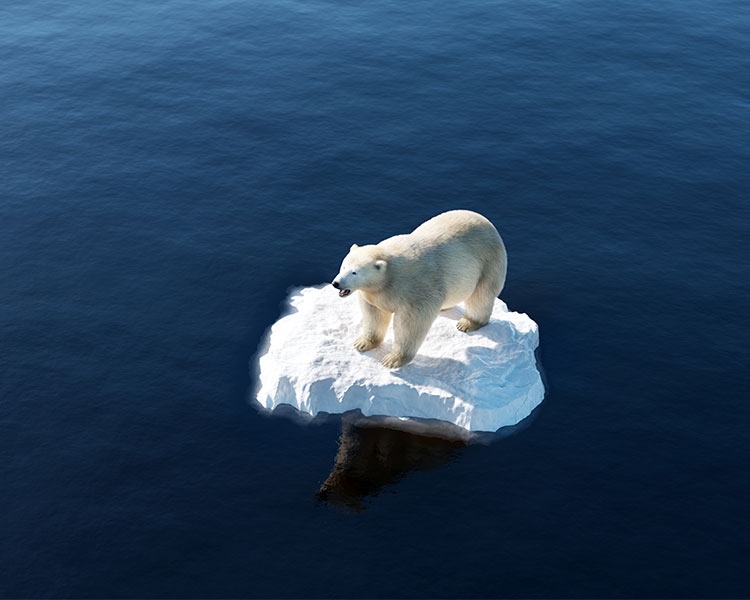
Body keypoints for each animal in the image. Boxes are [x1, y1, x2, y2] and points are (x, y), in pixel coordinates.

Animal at [332, 211, 508, 370]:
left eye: (354, 272)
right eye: (344, 266)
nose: (336, 283)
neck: (390, 275)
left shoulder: (417, 289)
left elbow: (410, 324)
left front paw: (392, 360)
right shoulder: (374, 294)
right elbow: (374, 314)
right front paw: (362, 343)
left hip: (489, 262)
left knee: (481, 296)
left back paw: (468, 323)